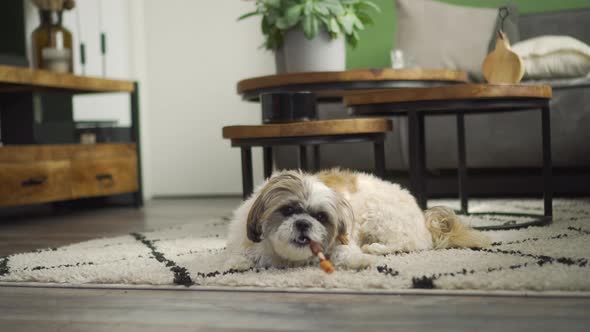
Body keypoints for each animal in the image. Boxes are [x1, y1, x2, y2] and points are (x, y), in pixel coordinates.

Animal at [225, 169, 490, 270]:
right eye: (287, 210)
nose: (303, 223)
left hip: (378, 217)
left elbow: (346, 252)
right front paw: (238, 262)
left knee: (411, 244)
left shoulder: (344, 238)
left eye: (321, 217)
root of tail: (423, 218)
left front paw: (359, 260)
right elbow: (239, 253)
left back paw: (376, 248)